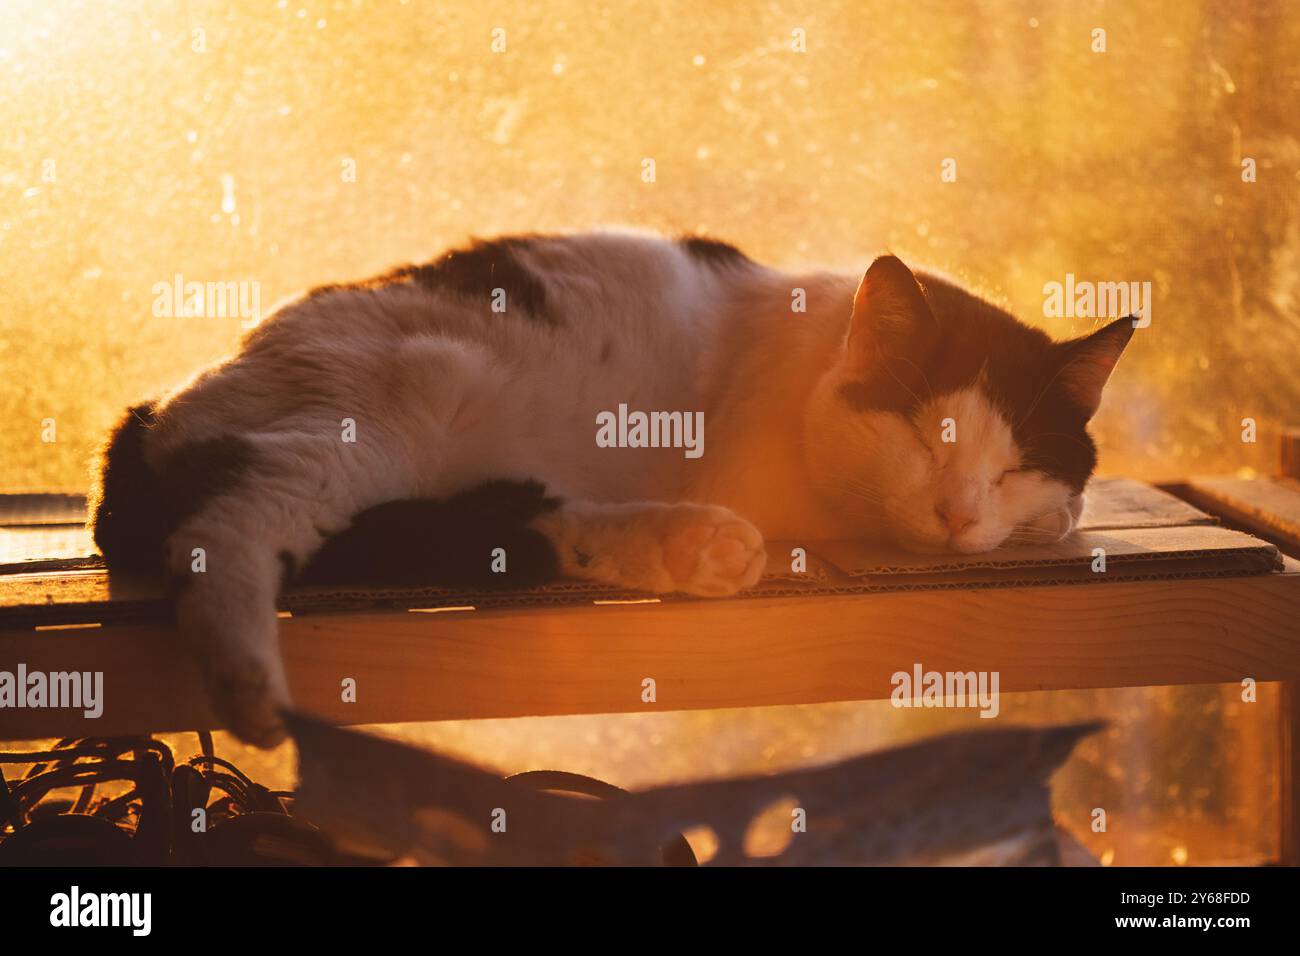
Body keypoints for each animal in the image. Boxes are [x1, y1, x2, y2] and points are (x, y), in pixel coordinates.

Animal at [91, 231, 1133, 749]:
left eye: (1012, 465)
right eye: (922, 436)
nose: (960, 513)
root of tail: (160, 406)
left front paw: (1053, 511)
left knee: (515, 521)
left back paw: (691, 546)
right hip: (384, 407)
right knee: (225, 528)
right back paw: (248, 678)